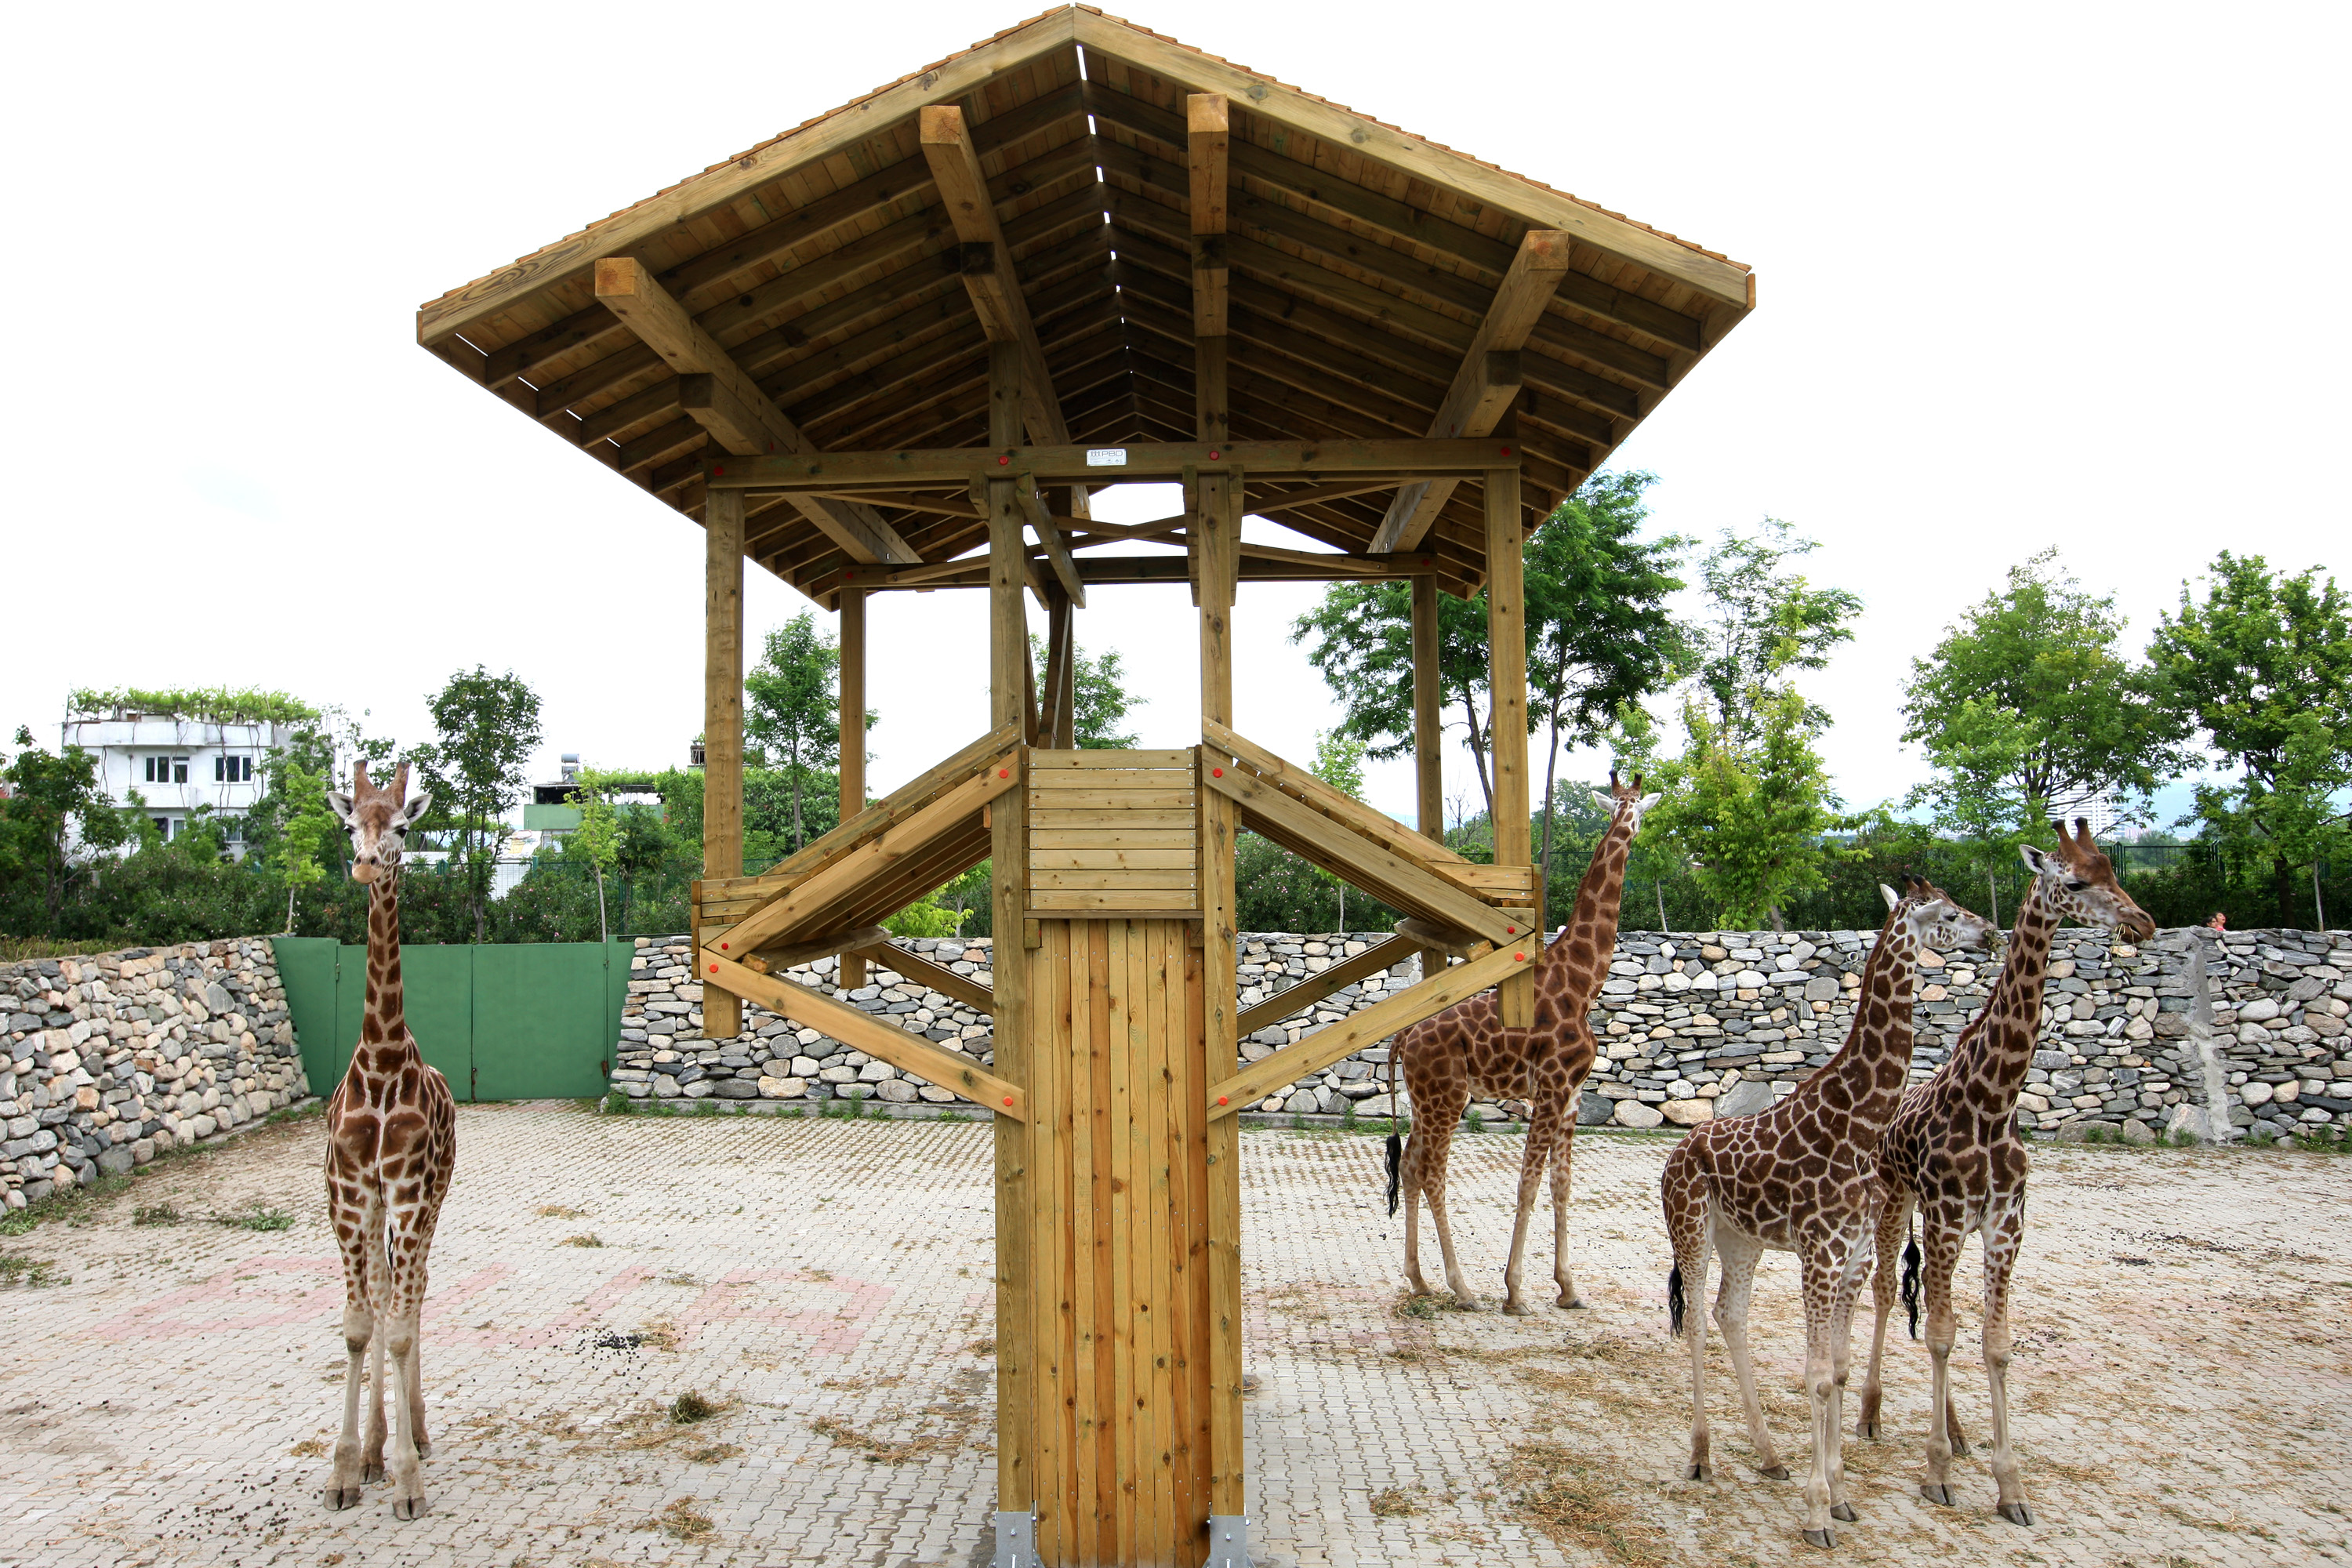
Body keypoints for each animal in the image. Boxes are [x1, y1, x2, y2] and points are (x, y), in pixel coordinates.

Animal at [1391, 771, 1658, 1315]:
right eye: (1632, 808)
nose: (1634, 828)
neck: (1583, 982)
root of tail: (1406, 1035)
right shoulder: (1552, 1088)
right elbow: (1528, 1185)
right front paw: (1515, 1291)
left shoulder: (1573, 1095)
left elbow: (1562, 1186)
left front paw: (1569, 1289)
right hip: (1448, 1098)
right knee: (1431, 1174)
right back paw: (1463, 1288)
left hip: (1425, 1101)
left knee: (1408, 1166)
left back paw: (1420, 1281)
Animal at [1660, 876, 1997, 1550]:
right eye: (1948, 916)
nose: (1992, 933)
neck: (1861, 1121)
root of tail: (1675, 1153)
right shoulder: (1820, 1252)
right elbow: (1816, 1375)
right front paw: (1818, 1512)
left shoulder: (1854, 1256)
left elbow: (1837, 1371)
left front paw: (1841, 1496)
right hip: (1693, 1227)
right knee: (1700, 1321)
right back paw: (1703, 1457)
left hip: (1743, 1239)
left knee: (1728, 1313)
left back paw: (1769, 1456)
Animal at [1857, 820, 2154, 1528]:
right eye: (2074, 880)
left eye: (2112, 869)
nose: (2144, 923)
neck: (1994, 1101)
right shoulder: (1943, 1215)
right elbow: (1940, 1332)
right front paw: (1937, 1473)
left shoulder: (2006, 1223)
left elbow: (1992, 1341)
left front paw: (2009, 1486)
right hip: (1897, 1199)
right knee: (1887, 1292)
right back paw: (1873, 1414)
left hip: (1935, 1220)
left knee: (1924, 1300)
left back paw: (1960, 1433)